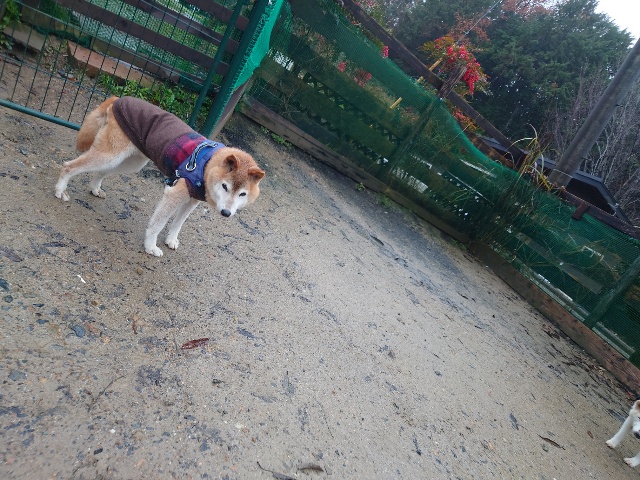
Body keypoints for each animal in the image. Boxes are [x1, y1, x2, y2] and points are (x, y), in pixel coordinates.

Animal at [55, 96, 265, 256]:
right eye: (225, 186)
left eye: (242, 194)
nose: (226, 213)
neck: (207, 165)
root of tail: (118, 99)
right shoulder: (173, 195)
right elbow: (157, 225)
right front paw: (150, 247)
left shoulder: (191, 200)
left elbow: (178, 223)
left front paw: (171, 239)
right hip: (110, 156)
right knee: (68, 167)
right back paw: (60, 191)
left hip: (128, 162)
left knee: (99, 172)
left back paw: (95, 189)